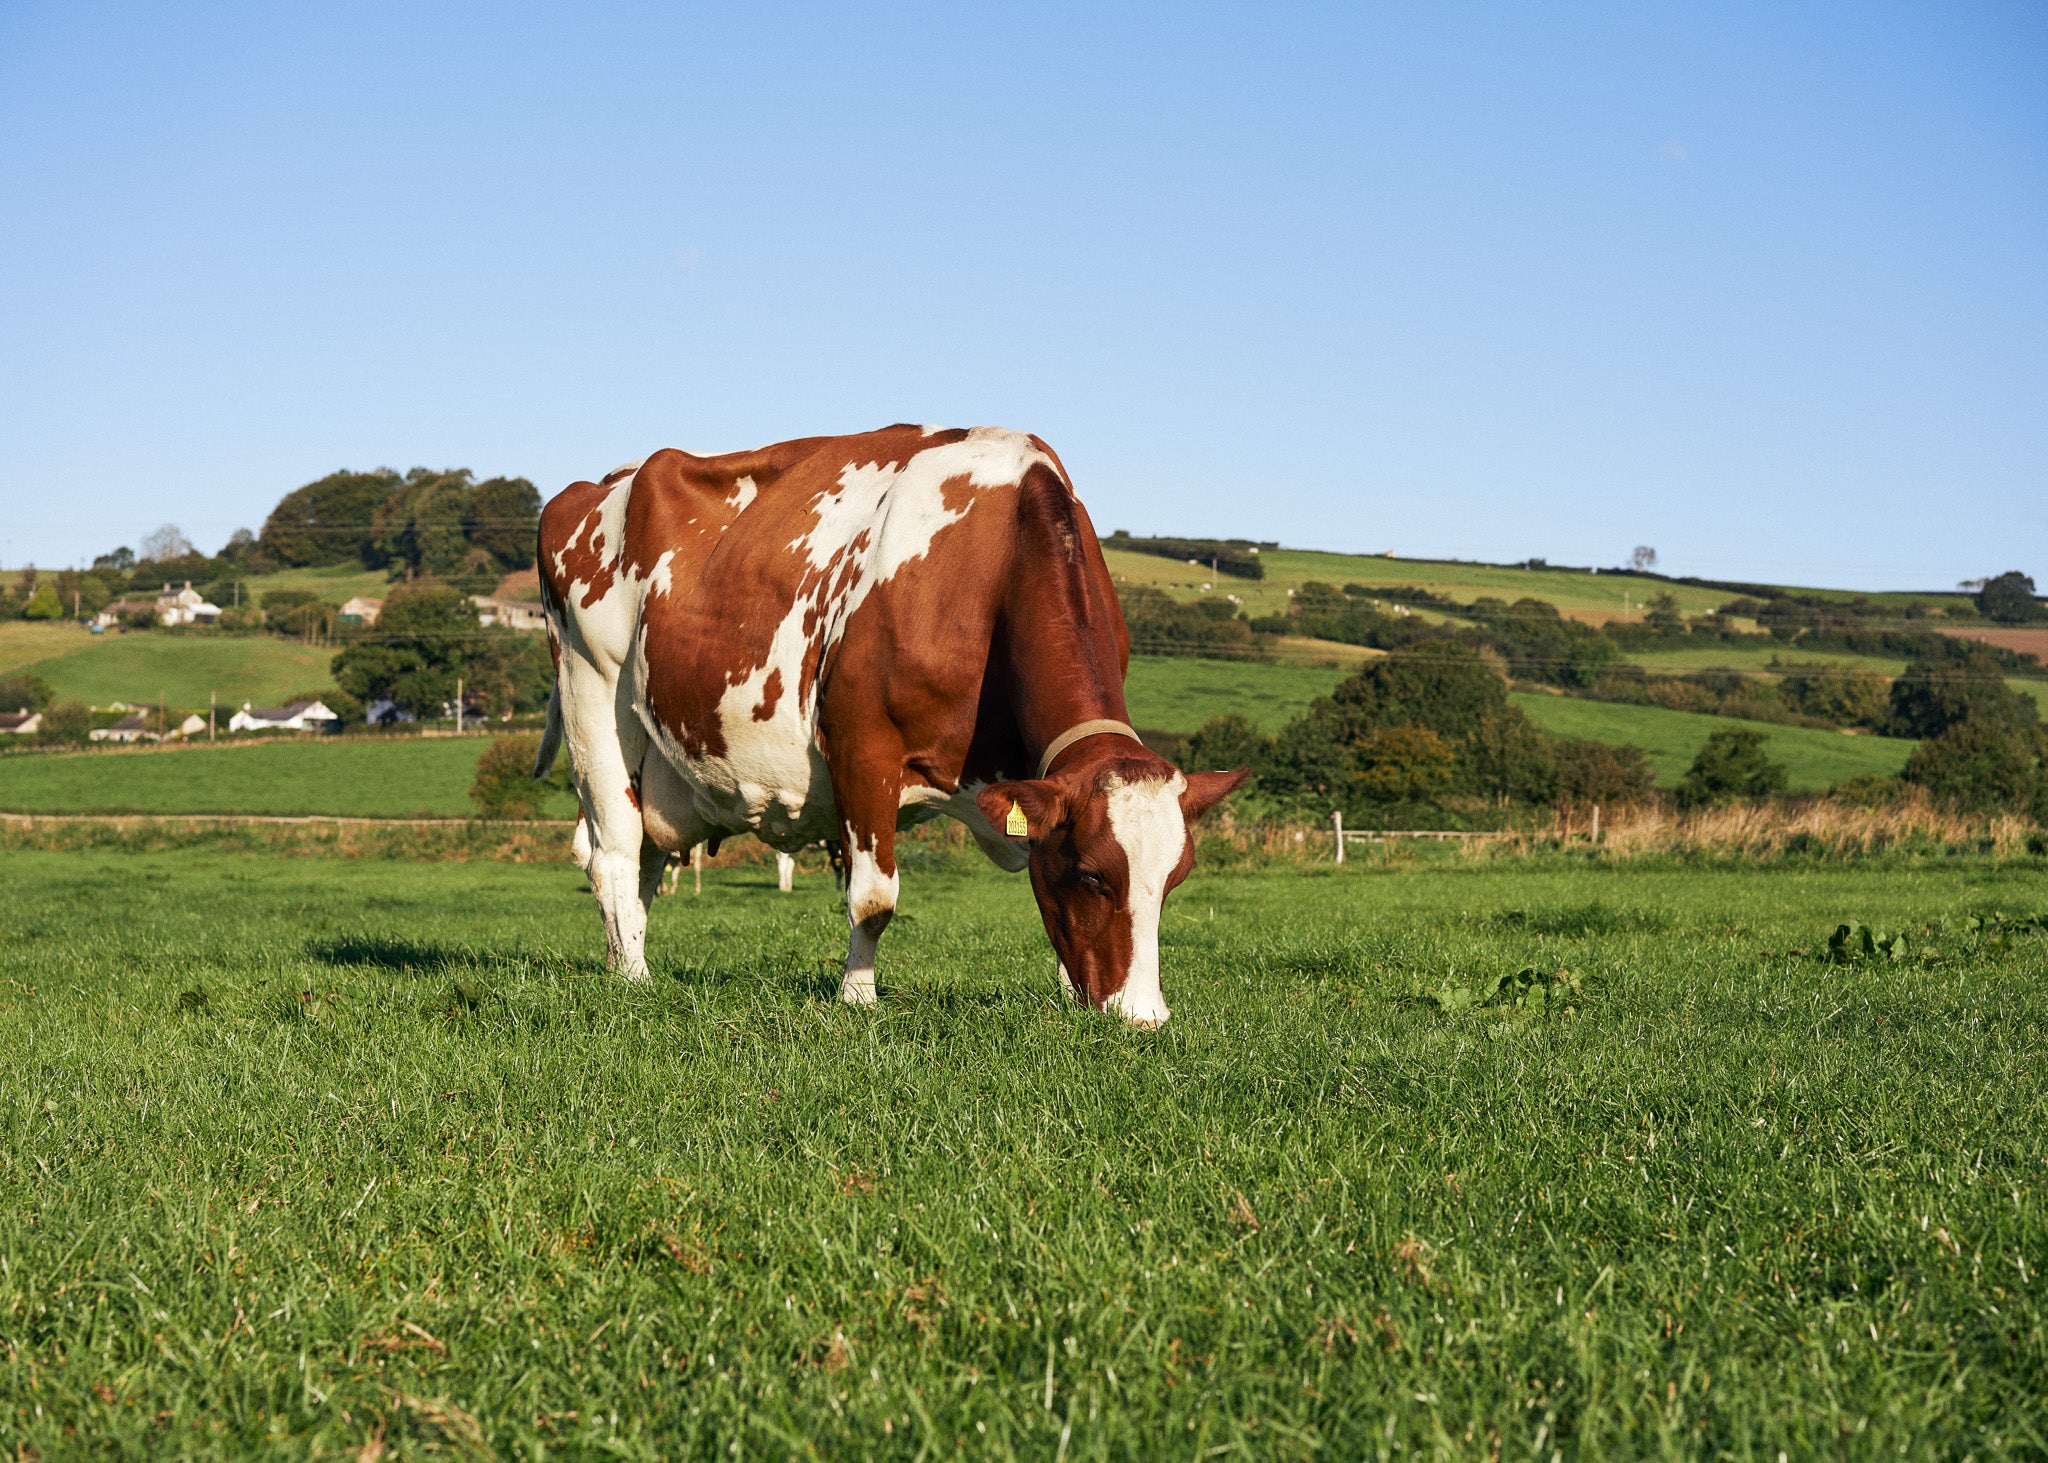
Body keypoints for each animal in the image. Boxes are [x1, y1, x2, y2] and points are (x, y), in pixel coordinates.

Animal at [536, 424, 1236, 1024]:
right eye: (1093, 873)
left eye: (1175, 879)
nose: (1144, 1018)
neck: (993, 566)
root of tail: (603, 482)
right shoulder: (863, 747)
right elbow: (873, 899)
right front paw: (858, 1000)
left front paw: (1069, 995)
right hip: (591, 699)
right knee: (613, 855)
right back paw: (634, 979)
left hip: (661, 761)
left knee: (647, 861)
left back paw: (624, 960)